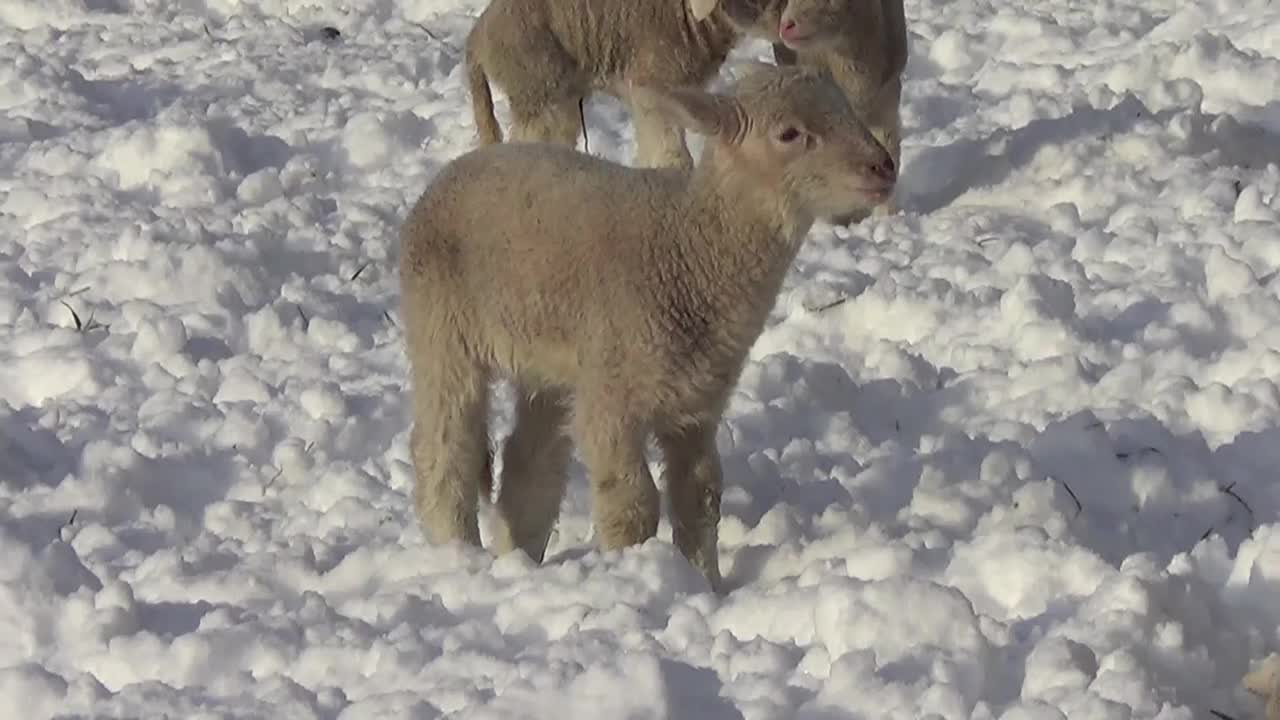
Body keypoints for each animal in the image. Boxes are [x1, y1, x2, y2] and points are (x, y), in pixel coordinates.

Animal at [399, 63, 901, 589]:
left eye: (845, 107)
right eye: (789, 133)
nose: (883, 167)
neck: (689, 254)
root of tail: (445, 177)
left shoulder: (697, 407)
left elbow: (700, 498)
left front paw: (705, 585)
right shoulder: (613, 398)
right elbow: (632, 504)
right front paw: (633, 569)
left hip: (550, 362)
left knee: (530, 463)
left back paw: (517, 557)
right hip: (441, 331)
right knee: (444, 451)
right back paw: (457, 553)